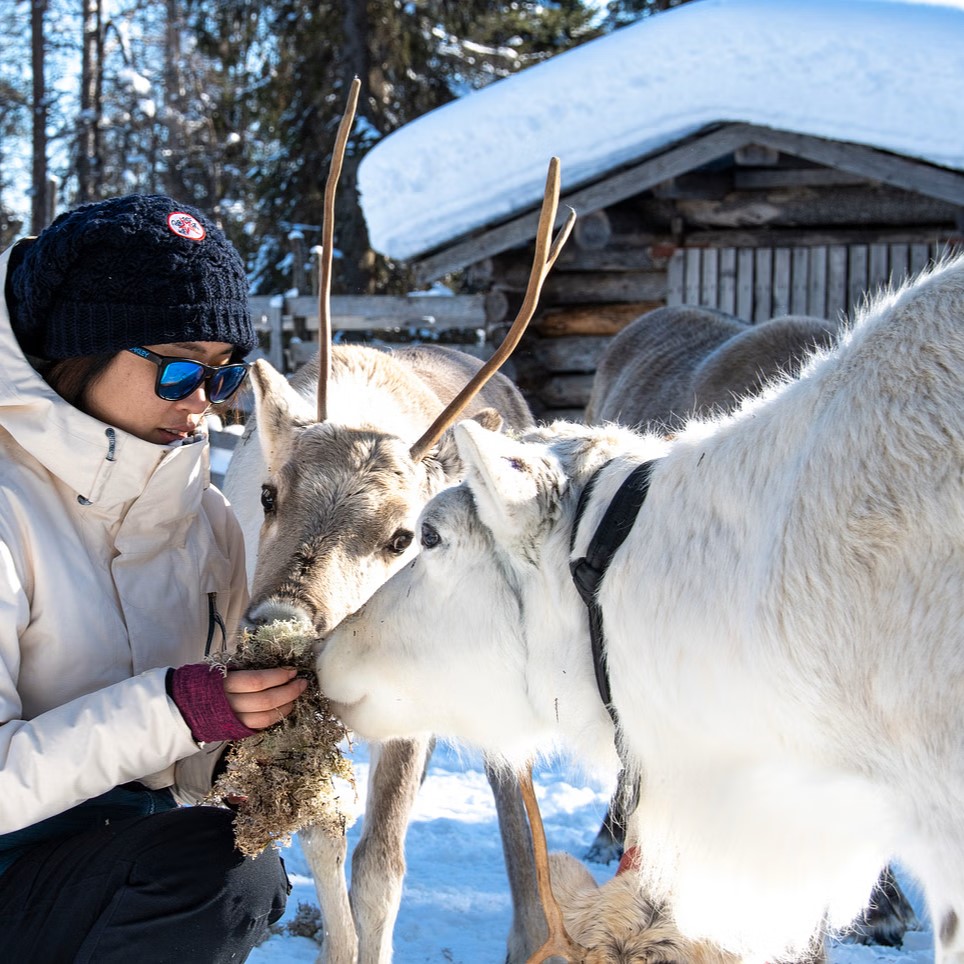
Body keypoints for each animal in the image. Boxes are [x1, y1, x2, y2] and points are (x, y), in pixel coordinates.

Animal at [223, 89, 577, 963]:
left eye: (402, 537)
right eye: (269, 494)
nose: (278, 624)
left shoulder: (405, 709)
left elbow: (379, 866)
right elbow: (322, 843)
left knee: (513, 781)